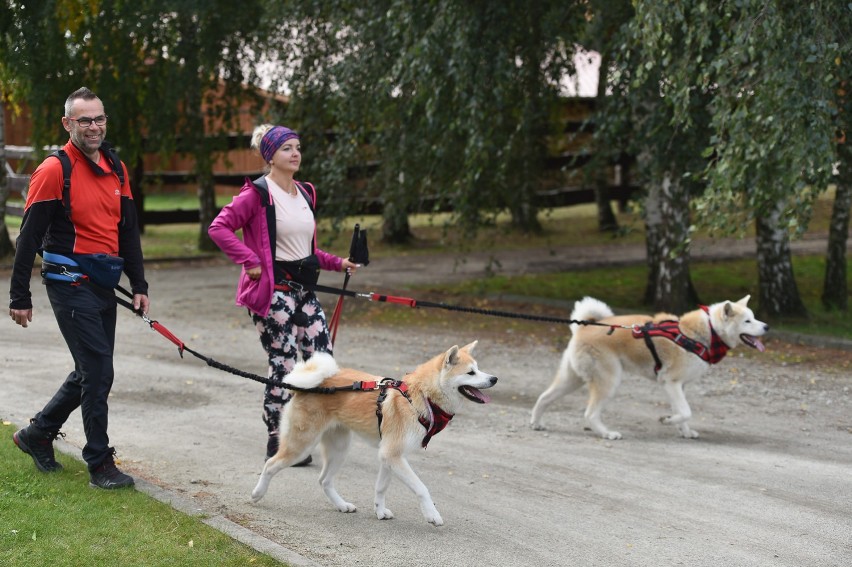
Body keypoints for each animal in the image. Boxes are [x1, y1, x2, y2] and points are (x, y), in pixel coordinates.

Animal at [528, 296, 768, 442]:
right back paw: (607, 433)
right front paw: (667, 420)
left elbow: (683, 413)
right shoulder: (671, 382)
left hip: (572, 378)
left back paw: (536, 423)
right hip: (608, 381)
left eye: (754, 317)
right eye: (748, 321)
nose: (766, 326)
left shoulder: (679, 387)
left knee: (544, 397)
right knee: (590, 413)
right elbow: (685, 412)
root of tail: (583, 328)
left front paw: (684, 431)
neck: (706, 332)